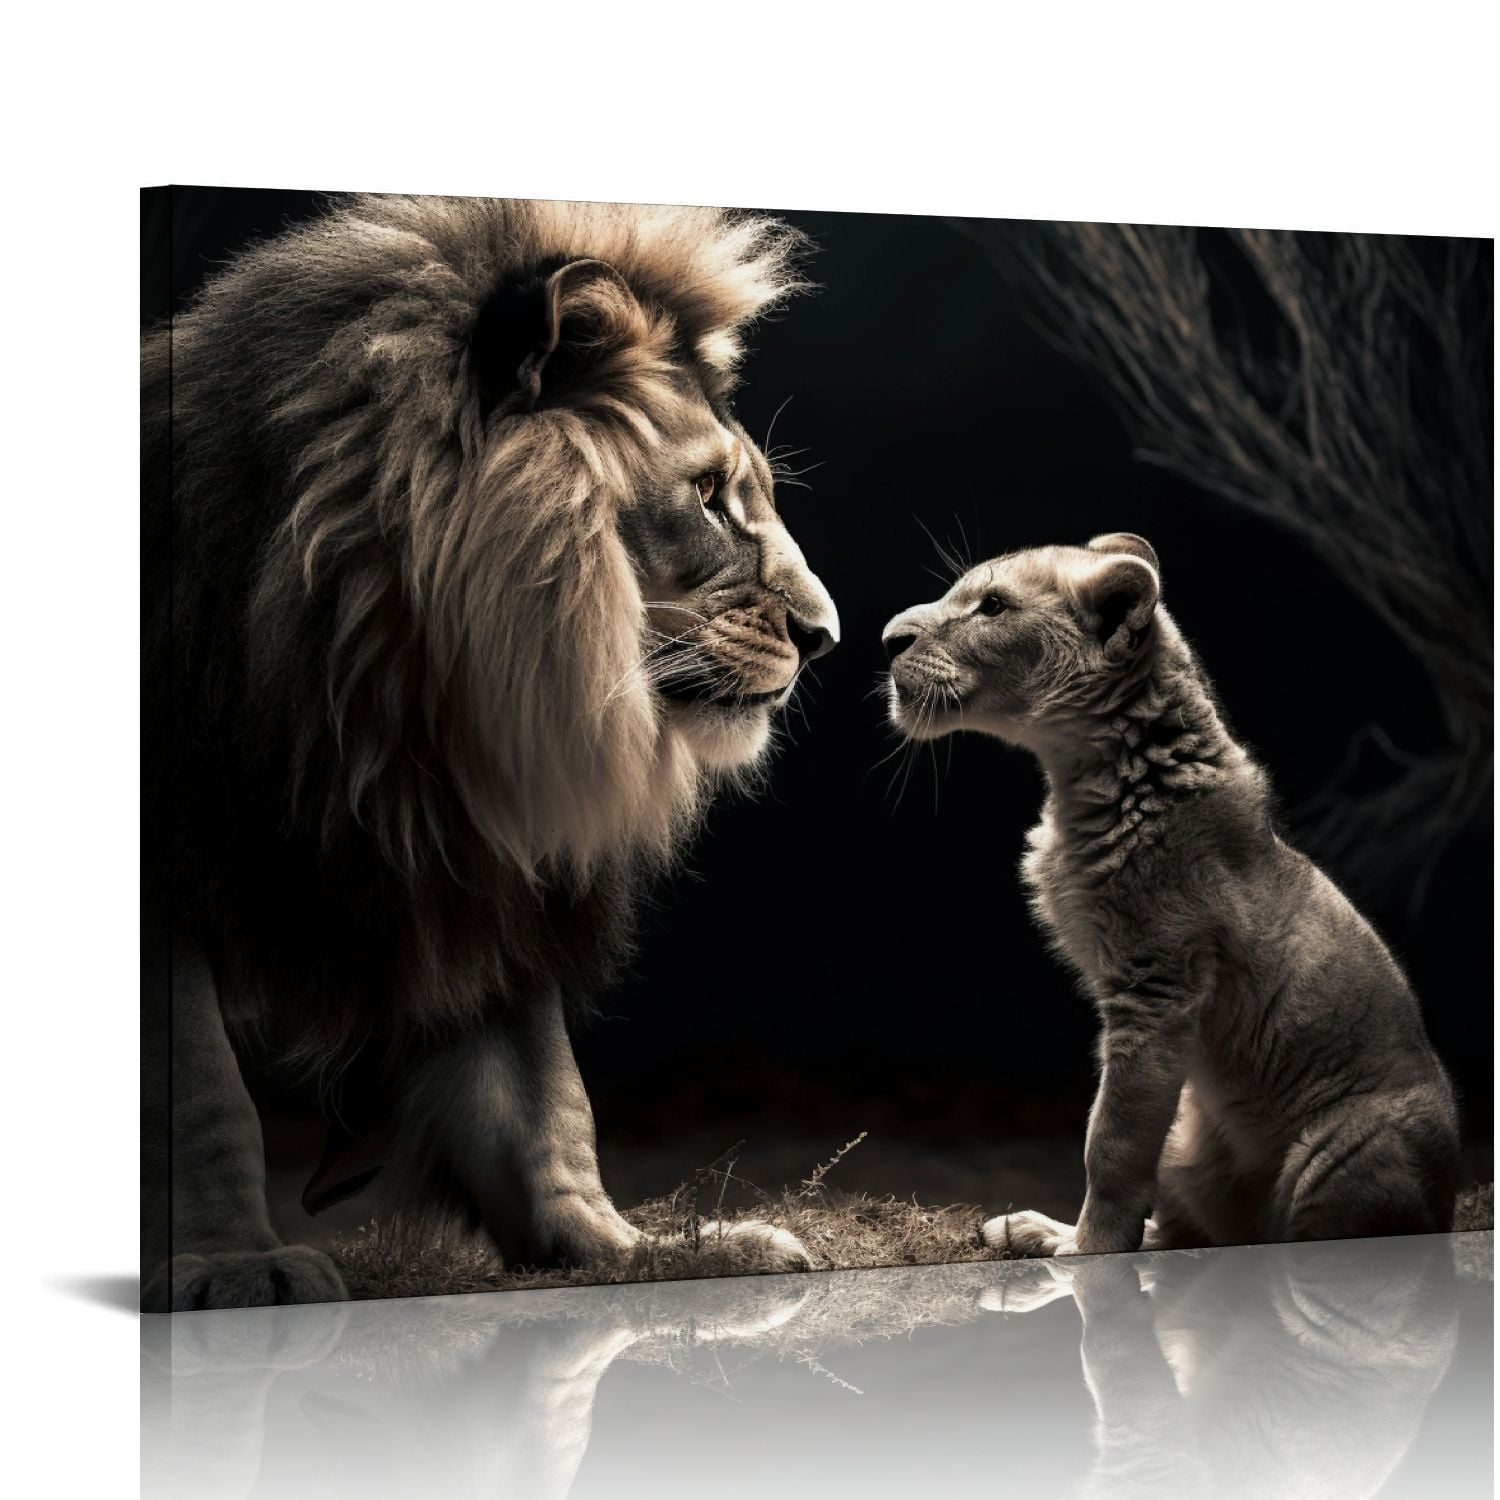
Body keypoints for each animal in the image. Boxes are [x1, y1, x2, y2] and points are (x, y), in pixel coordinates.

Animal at [141, 193, 838, 1310]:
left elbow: (541, 1097)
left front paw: (648, 1255)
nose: (828, 636)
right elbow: (196, 1090)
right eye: (707, 494)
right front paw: (234, 1266)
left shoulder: (474, 866)